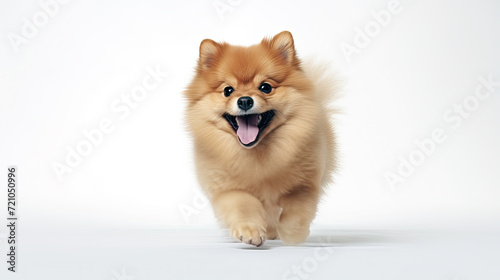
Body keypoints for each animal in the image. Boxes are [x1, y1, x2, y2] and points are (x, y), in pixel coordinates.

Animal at [186, 30, 338, 245]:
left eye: (265, 87)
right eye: (228, 90)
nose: (244, 100)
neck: (257, 152)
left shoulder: (304, 185)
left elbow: (297, 211)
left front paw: (293, 234)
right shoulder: (228, 189)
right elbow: (243, 205)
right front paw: (250, 230)